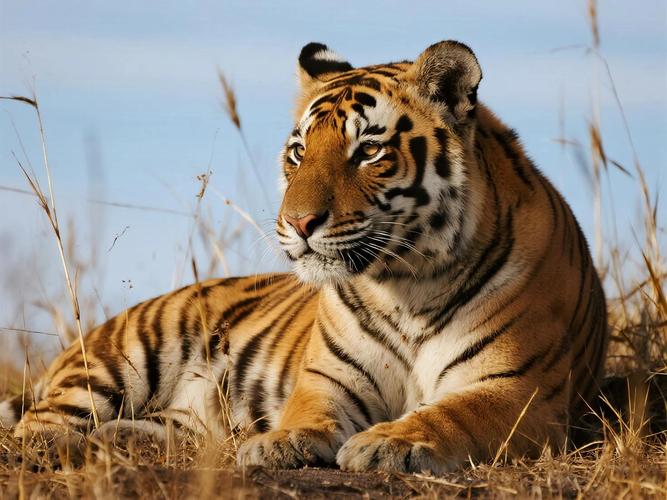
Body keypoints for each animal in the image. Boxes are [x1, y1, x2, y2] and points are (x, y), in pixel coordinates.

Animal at [0, 40, 607, 474]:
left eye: (369, 151)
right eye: (298, 151)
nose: (297, 223)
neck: (408, 283)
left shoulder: (517, 388)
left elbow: (453, 411)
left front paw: (389, 442)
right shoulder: (329, 377)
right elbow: (309, 408)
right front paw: (283, 441)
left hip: (176, 420)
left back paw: (113, 445)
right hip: (116, 359)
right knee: (35, 425)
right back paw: (56, 448)